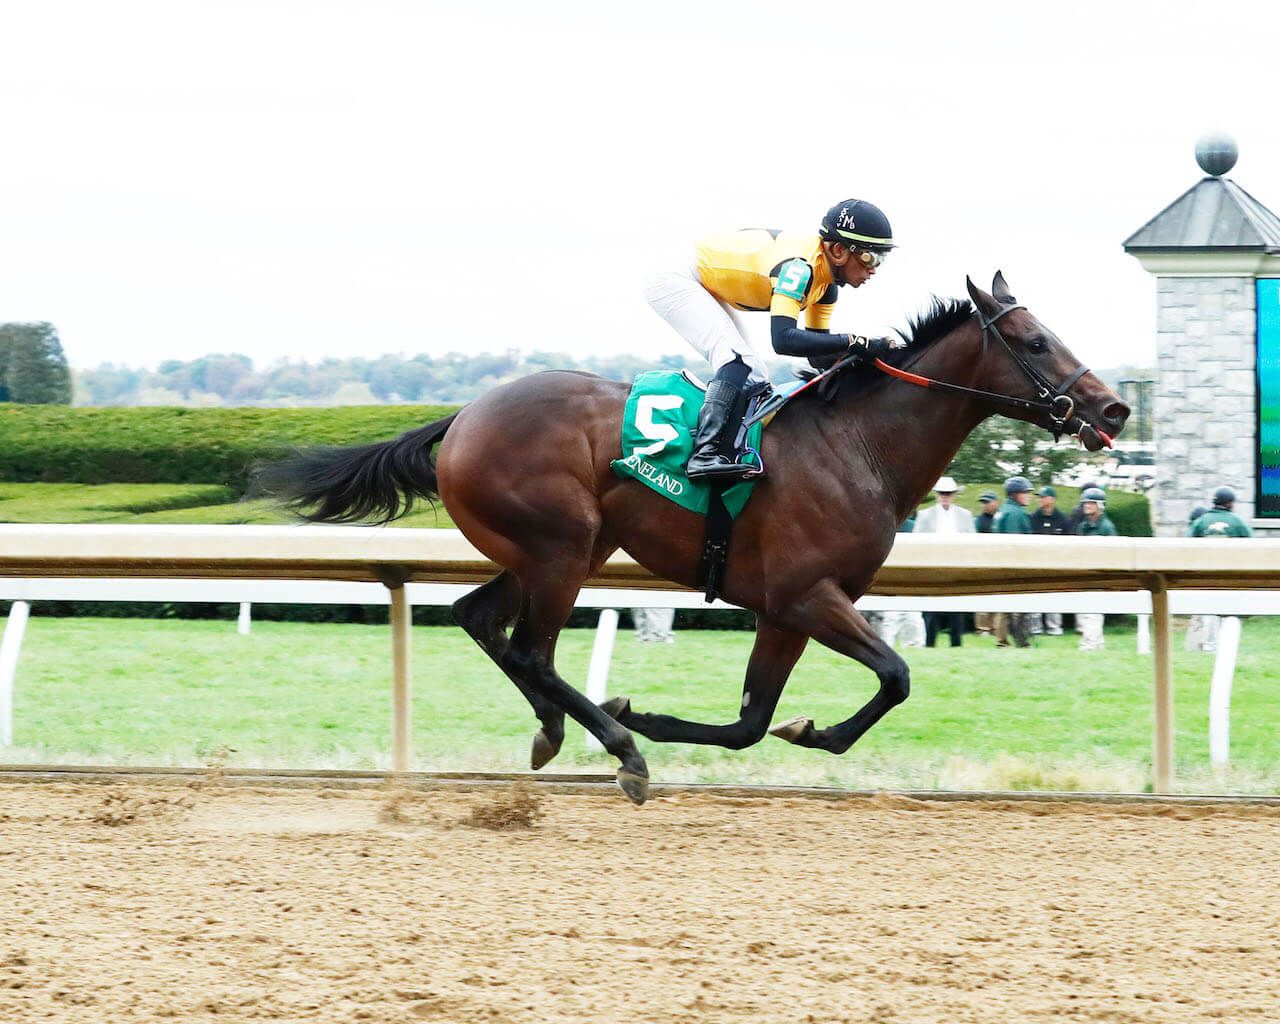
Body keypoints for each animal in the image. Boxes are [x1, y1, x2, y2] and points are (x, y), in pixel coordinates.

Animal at [257, 273, 1131, 808]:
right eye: (1035, 340)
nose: (1113, 408)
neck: (857, 445)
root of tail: (463, 416)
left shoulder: (785, 609)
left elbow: (752, 722)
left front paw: (779, 726)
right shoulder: (807, 595)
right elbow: (896, 675)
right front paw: (662, 722)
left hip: (560, 549)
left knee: (481, 620)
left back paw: (554, 731)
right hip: (561, 546)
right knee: (532, 649)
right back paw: (619, 748)